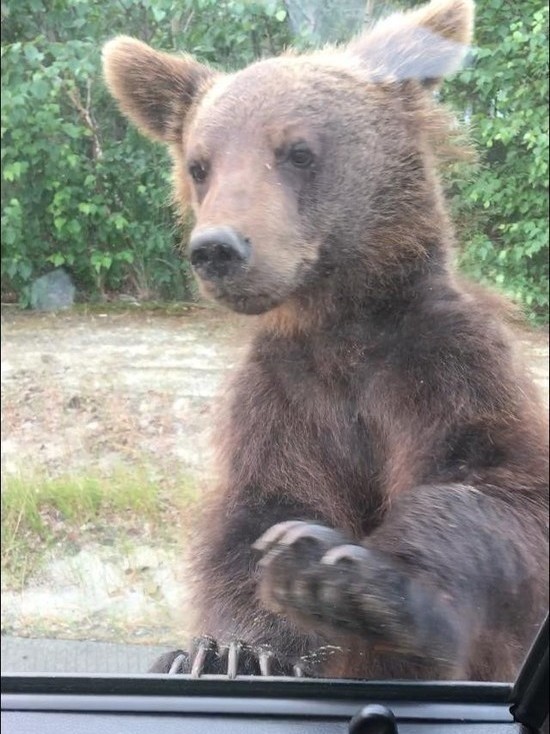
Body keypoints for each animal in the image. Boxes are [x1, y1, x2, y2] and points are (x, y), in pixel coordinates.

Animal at [102, 0, 548, 680]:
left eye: (298, 151)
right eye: (199, 165)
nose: (217, 249)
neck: (339, 327)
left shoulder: (439, 362)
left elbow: (494, 490)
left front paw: (351, 579)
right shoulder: (286, 394)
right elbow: (258, 514)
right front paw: (229, 650)